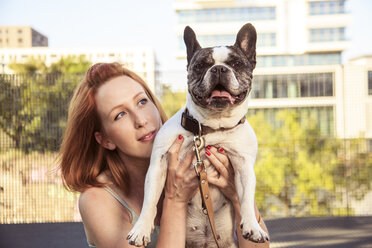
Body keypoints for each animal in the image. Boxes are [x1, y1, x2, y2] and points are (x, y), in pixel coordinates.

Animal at [127, 22, 268, 246]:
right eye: (201, 65)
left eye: (236, 63)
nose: (219, 68)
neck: (211, 127)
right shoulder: (158, 164)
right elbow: (149, 201)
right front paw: (141, 229)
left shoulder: (244, 166)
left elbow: (246, 199)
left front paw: (253, 226)